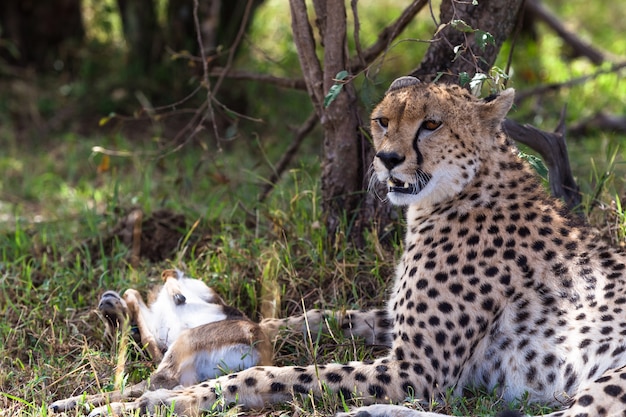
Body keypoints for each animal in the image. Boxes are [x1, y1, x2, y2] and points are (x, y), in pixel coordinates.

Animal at [61, 77, 624, 412]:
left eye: (432, 124)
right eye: (382, 120)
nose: (388, 159)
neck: (461, 189)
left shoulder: (416, 370)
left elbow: (269, 374)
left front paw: (150, 402)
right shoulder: (396, 331)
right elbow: (316, 318)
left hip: (609, 380)